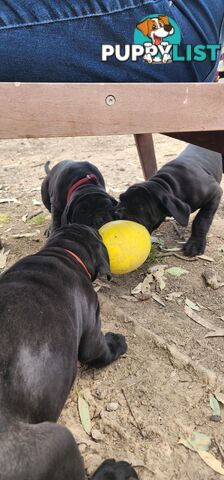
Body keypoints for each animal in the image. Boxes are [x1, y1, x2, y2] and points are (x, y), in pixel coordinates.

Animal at [0, 224, 137, 480]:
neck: (63, 252)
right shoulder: (93, 330)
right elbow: (101, 351)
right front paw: (117, 342)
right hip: (58, 440)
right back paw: (116, 470)